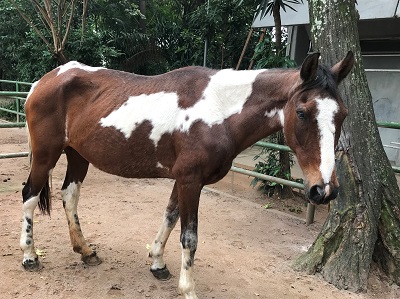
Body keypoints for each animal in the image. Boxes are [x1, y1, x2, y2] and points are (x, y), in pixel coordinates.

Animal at [21, 52, 354, 299]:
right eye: (302, 112)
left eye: (343, 114)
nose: (324, 190)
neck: (219, 111)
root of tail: (45, 81)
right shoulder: (191, 182)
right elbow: (189, 236)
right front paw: (188, 288)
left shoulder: (182, 180)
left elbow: (170, 216)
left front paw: (157, 264)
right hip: (46, 156)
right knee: (29, 197)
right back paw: (29, 257)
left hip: (78, 156)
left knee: (69, 195)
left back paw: (86, 251)